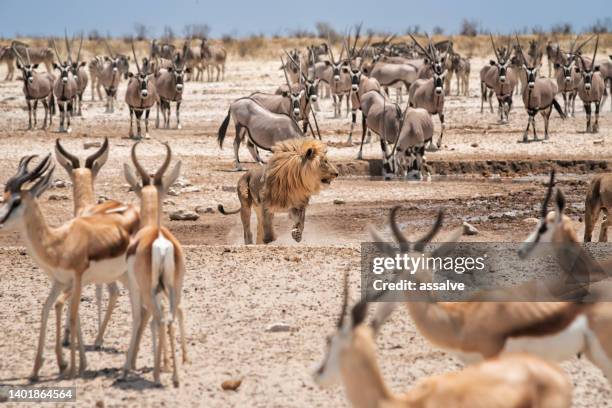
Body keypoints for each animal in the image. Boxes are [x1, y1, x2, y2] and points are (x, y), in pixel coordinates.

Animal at [120, 142, 185, 388]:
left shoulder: (134, 286)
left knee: (157, 318)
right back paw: (174, 376)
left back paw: (156, 376)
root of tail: (159, 240)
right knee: (169, 318)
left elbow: (138, 317)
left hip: (148, 290)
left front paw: (127, 368)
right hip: (174, 288)